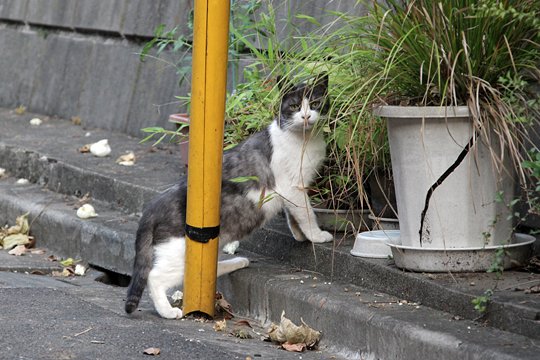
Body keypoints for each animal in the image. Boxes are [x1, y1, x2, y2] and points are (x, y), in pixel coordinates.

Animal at [125, 74, 334, 320]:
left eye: (316, 103)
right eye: (294, 106)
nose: (306, 116)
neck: (305, 139)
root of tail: (152, 207)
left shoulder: (292, 190)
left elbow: (293, 215)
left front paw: (300, 235)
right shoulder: (293, 187)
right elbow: (307, 213)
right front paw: (317, 236)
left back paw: (237, 262)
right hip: (179, 250)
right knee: (156, 277)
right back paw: (168, 311)